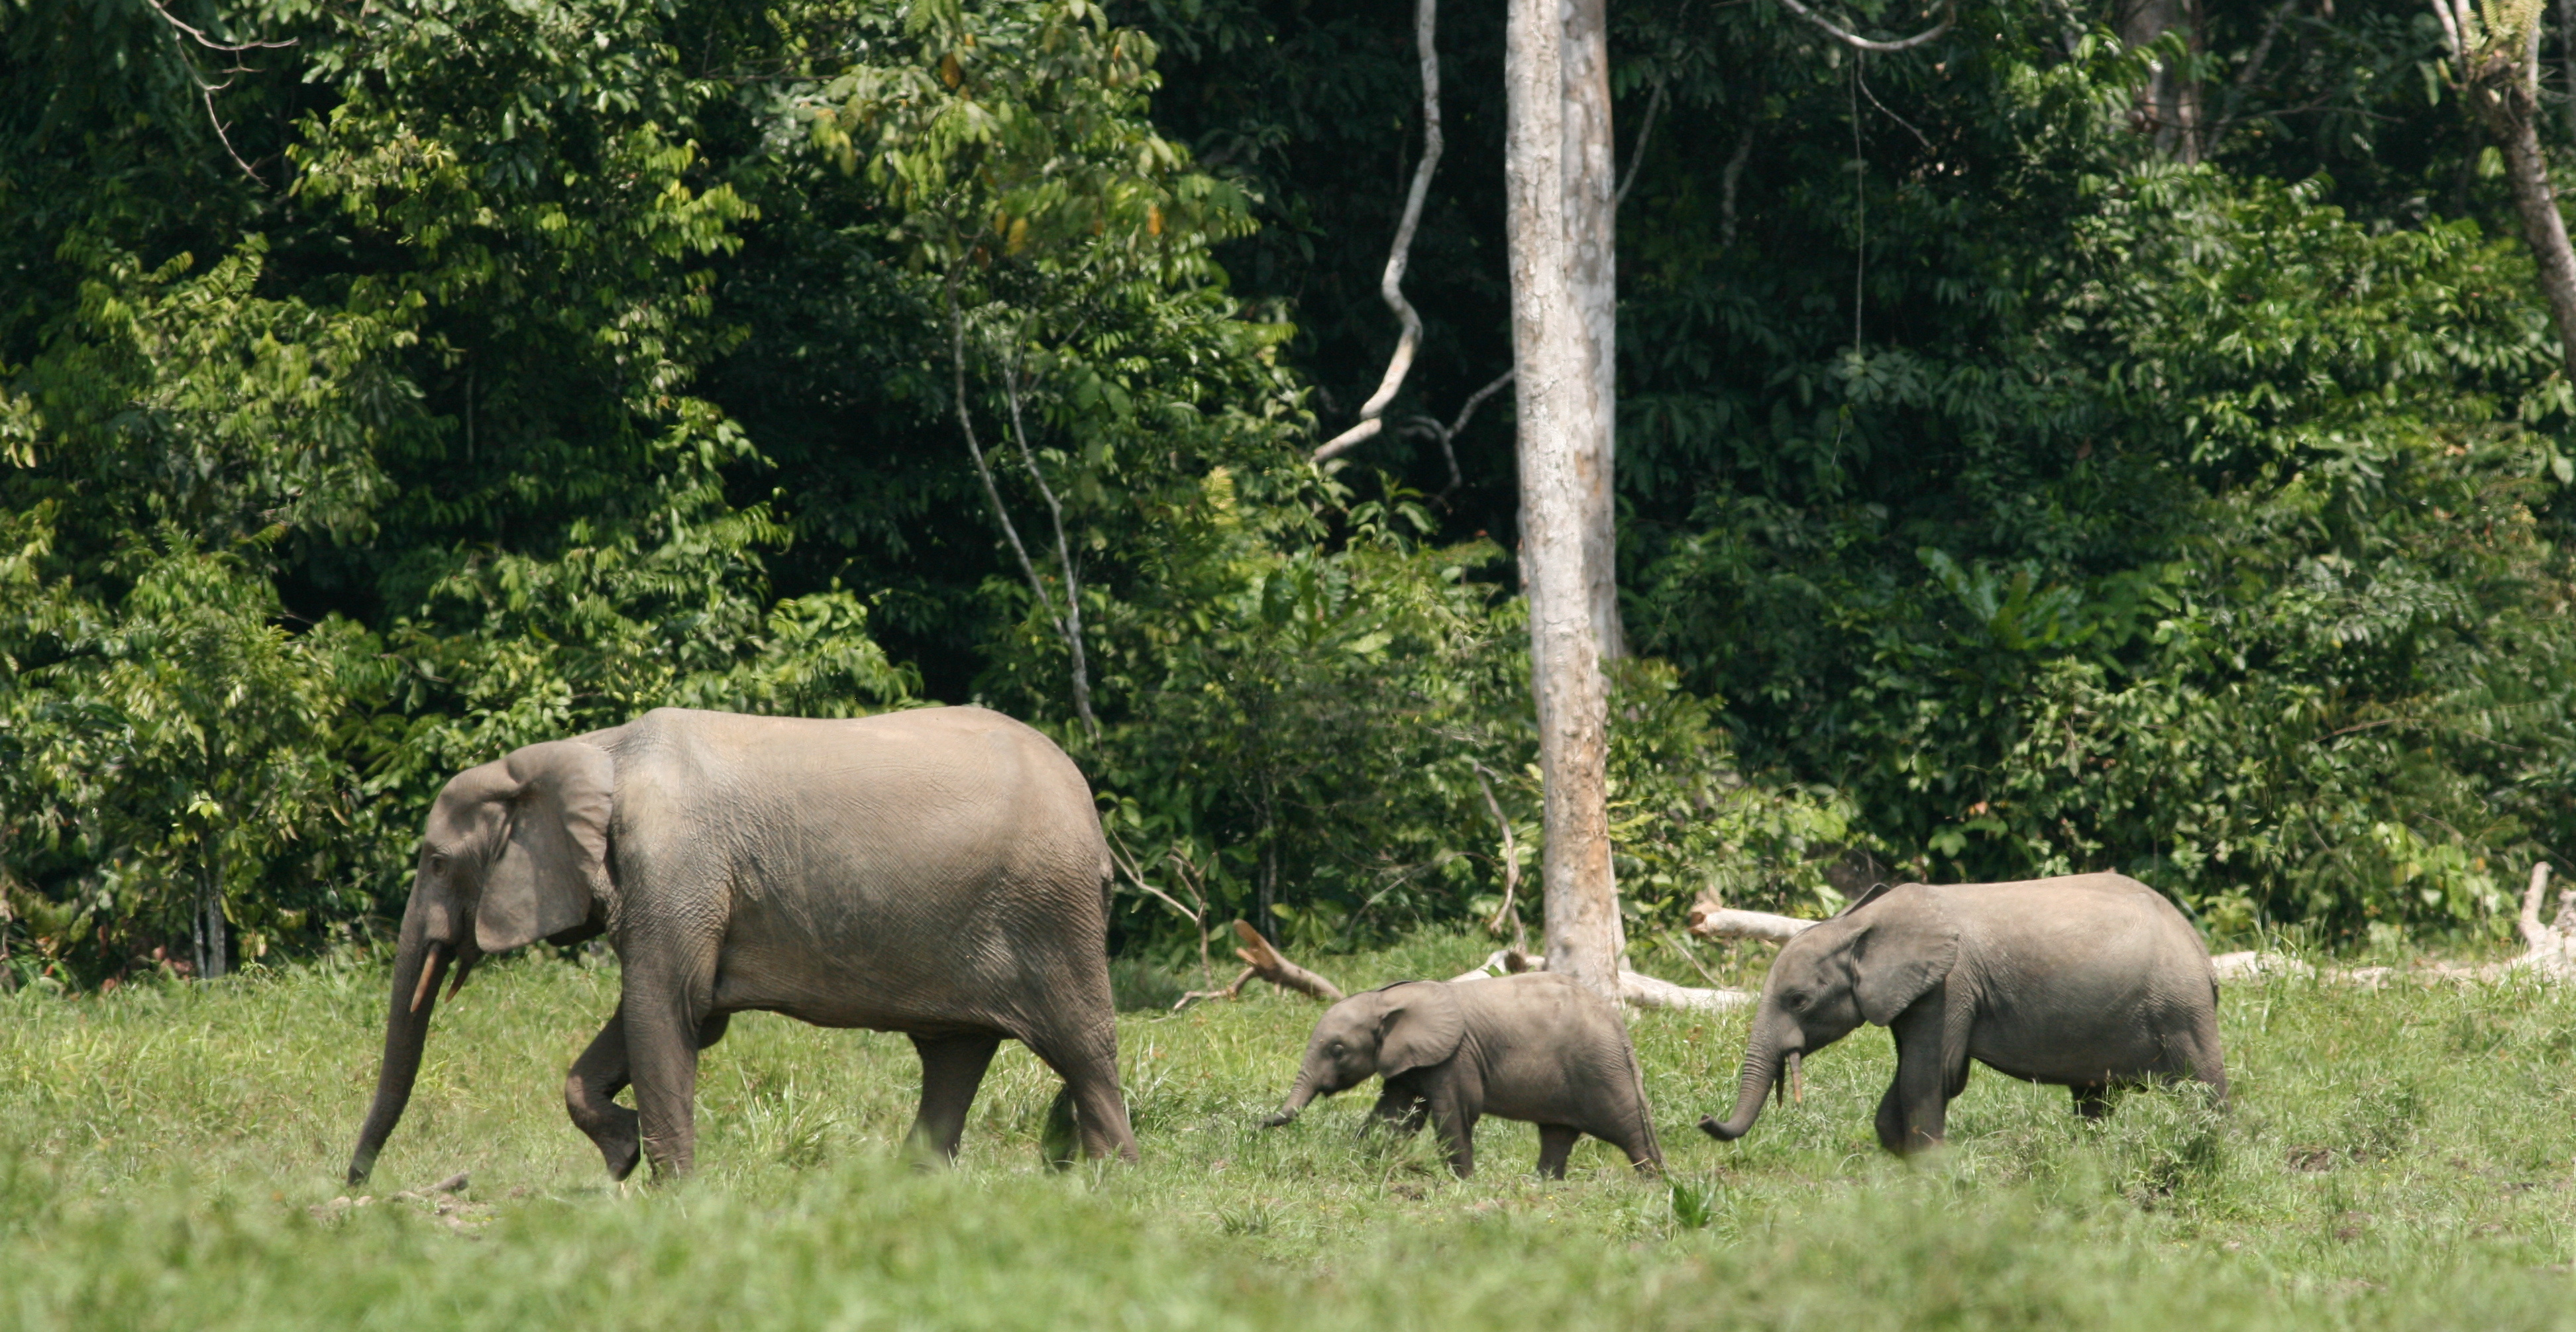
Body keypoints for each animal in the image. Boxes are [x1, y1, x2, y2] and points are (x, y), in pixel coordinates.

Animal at [345, 705, 1138, 1186]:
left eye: (437, 861)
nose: (356, 1186)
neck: (588, 752)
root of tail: (1091, 812)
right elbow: (679, 1017)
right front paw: (625, 1154)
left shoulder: (676, 865)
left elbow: (667, 1008)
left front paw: (670, 1195)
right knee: (953, 1055)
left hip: (1051, 913)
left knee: (1083, 1047)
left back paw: (1111, 1188)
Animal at [1261, 973, 1663, 1179]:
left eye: (1338, 1050)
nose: (1258, 1122)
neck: (1386, 999)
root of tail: (1617, 1023)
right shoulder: (1410, 1060)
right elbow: (1395, 1115)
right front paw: (1364, 1163)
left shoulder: (1455, 1057)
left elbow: (1455, 1112)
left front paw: (1464, 1184)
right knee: (1557, 1135)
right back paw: (1544, 1186)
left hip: (1600, 1068)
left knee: (1627, 1130)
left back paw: (1655, 1184)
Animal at [1699, 873, 2226, 1155]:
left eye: (1799, 1001)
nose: (1704, 1118)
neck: (1859, 925)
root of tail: (2200, 949)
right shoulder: (1916, 994)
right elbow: (1914, 1078)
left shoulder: (1950, 987)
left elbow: (1933, 1074)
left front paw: (1930, 1170)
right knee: (2094, 1098)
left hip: (2180, 1006)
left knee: (2205, 1086)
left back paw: (2213, 1150)